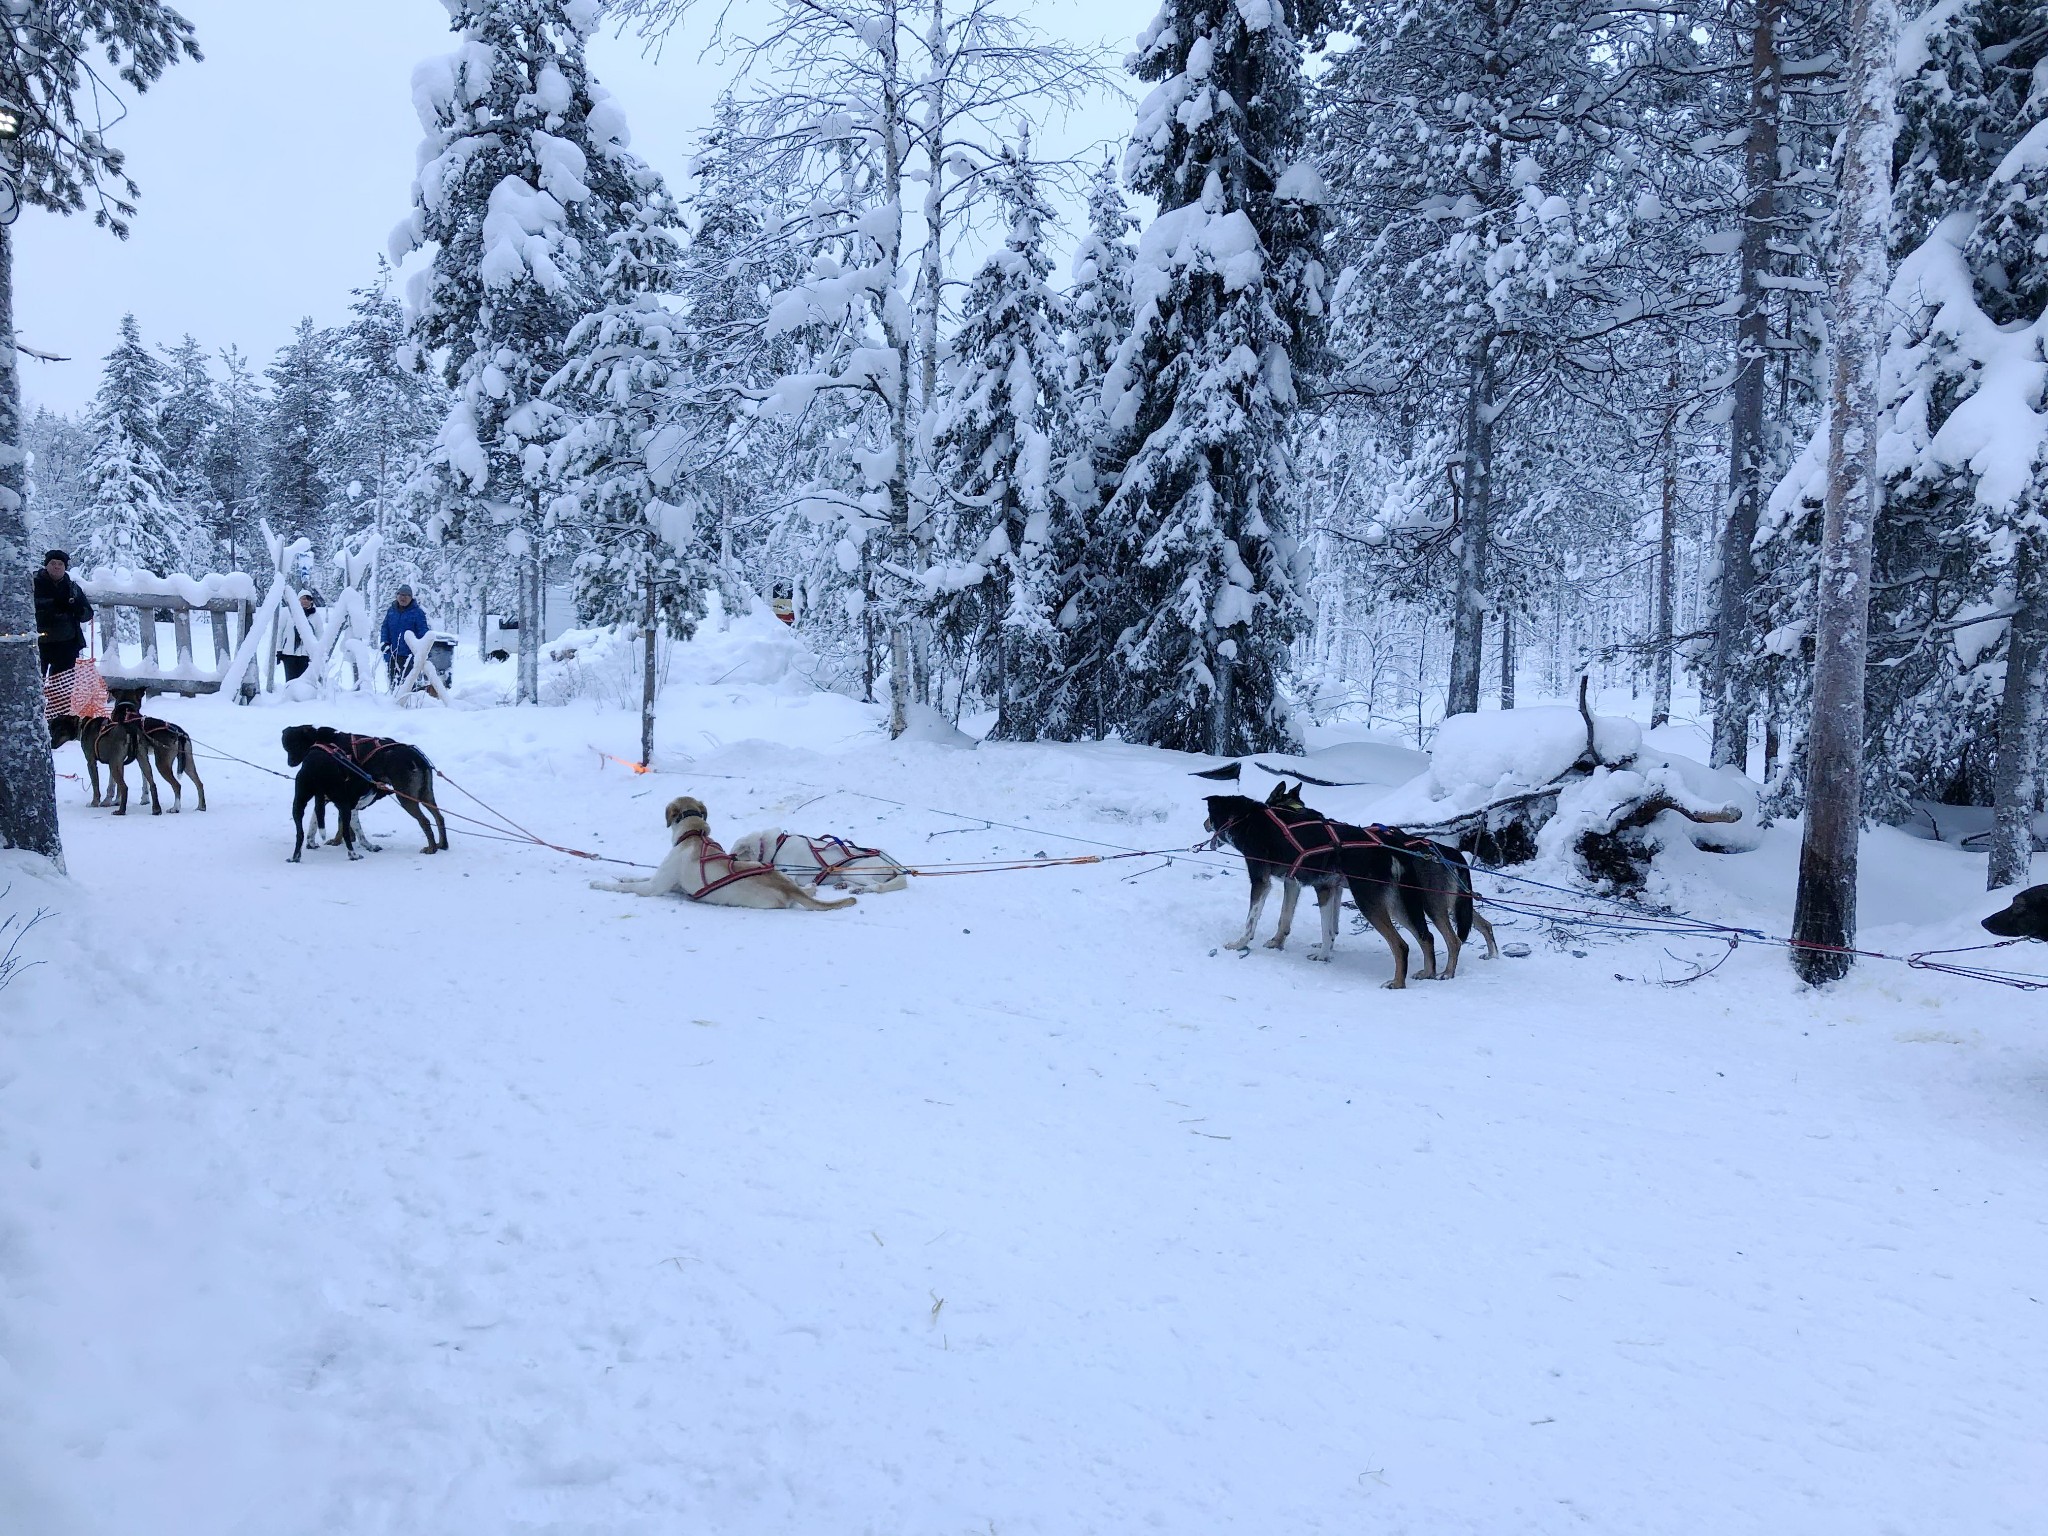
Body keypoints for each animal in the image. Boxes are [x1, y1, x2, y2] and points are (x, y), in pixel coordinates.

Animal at [724, 835, 909, 897]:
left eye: (733, 856)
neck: (775, 845)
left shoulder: (789, 874)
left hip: (852, 871)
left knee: (876, 885)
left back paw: (859, 889)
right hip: (846, 873)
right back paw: (846, 886)